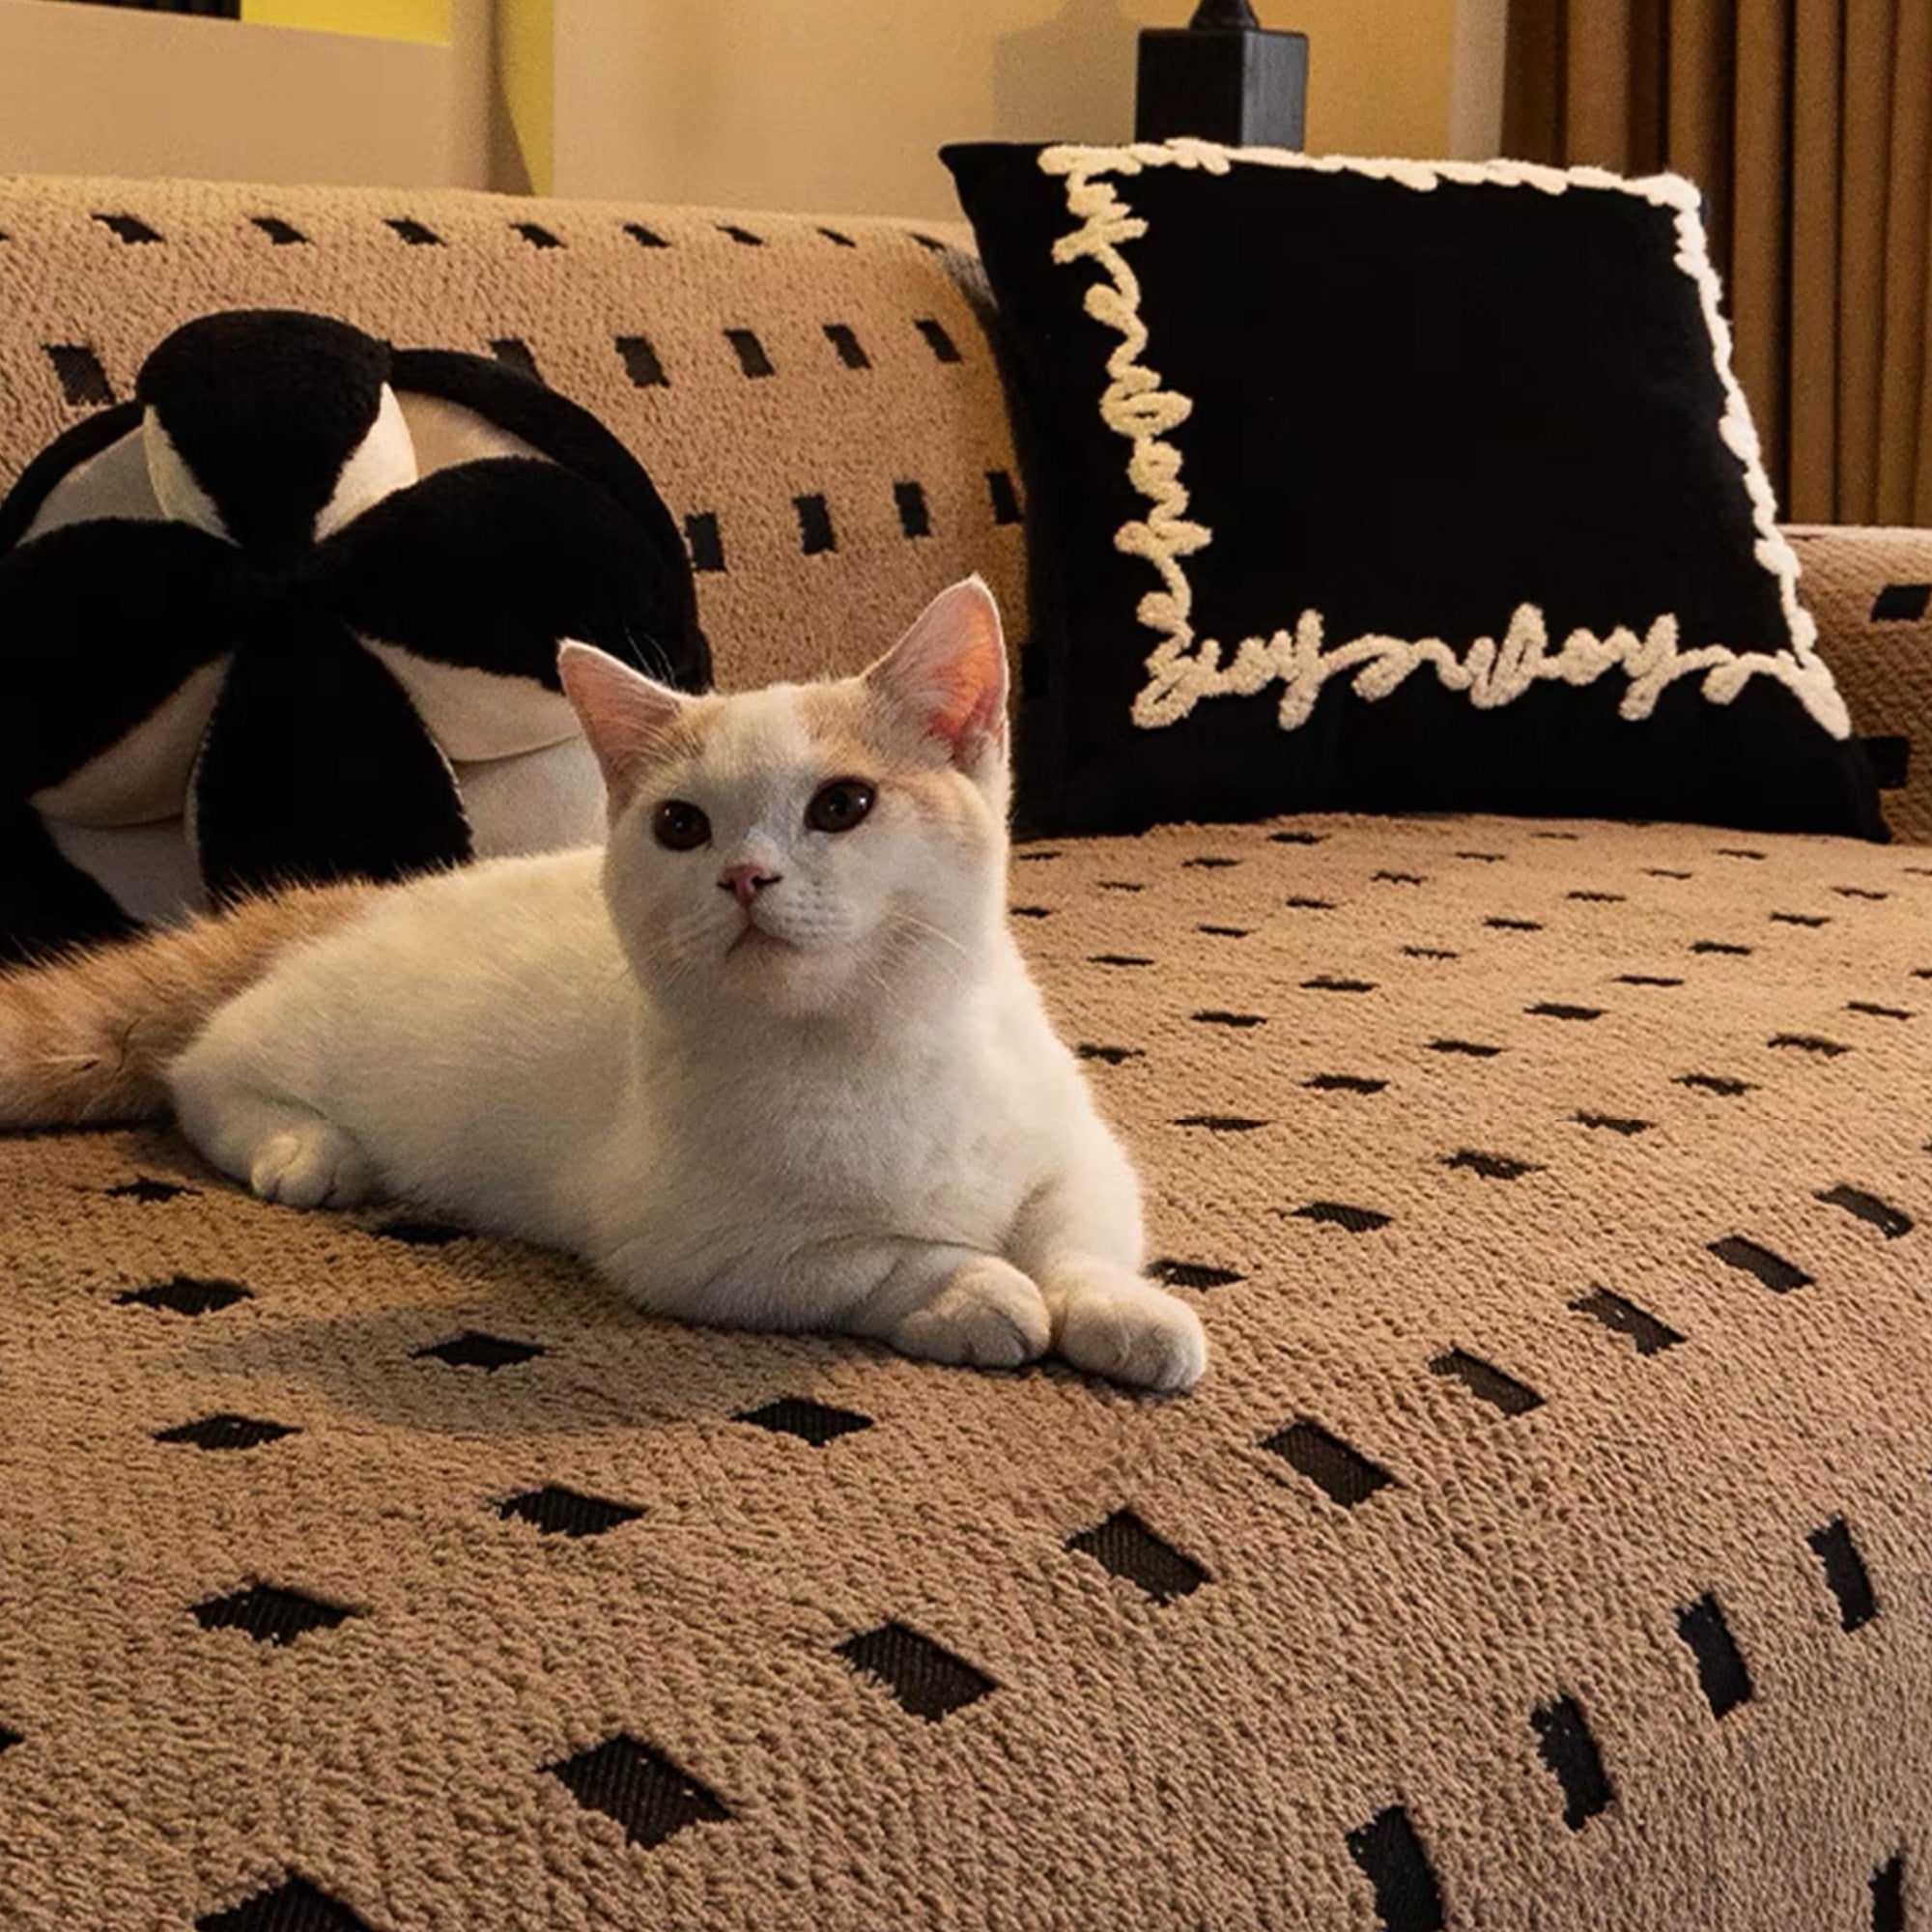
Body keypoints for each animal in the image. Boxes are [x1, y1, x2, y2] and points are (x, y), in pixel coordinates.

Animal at [0, 578, 1207, 1392]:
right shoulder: (703, 1252)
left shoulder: (1081, 1154)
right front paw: (971, 1287)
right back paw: (305, 1148)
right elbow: (878, 1257)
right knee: (202, 1071)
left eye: (842, 805)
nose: (743, 873)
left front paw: (1121, 1308)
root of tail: (366, 895)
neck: (873, 1044)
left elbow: (1076, 1228)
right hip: (292, 1045)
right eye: (680, 825)